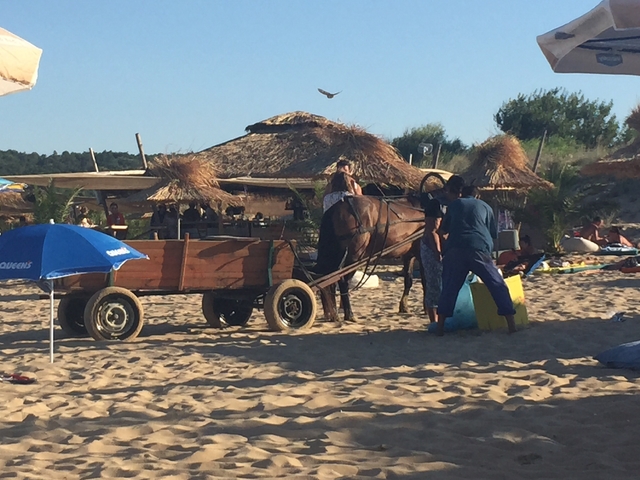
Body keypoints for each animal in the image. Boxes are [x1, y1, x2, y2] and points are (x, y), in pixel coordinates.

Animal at [314, 194, 428, 322]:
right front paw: (427, 309)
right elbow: (425, 280)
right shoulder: (421, 253)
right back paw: (349, 314)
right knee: (342, 282)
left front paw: (404, 306)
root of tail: (336, 208)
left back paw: (333, 314)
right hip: (353, 257)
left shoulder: (409, 255)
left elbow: (408, 280)